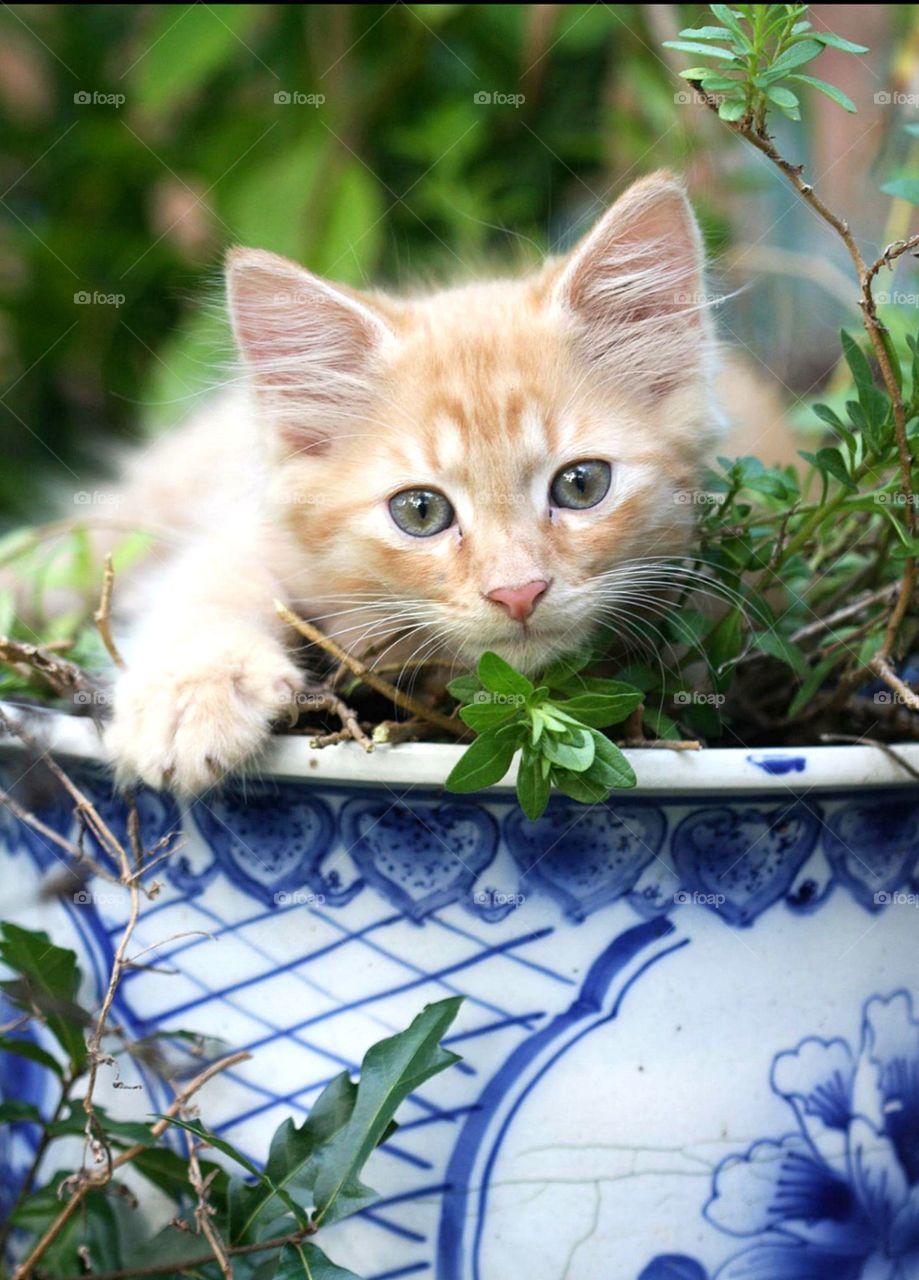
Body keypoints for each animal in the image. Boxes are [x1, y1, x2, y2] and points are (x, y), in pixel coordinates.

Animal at [106, 170, 721, 788]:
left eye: (581, 485)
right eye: (420, 511)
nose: (518, 593)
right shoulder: (263, 527)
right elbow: (209, 577)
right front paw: (191, 695)